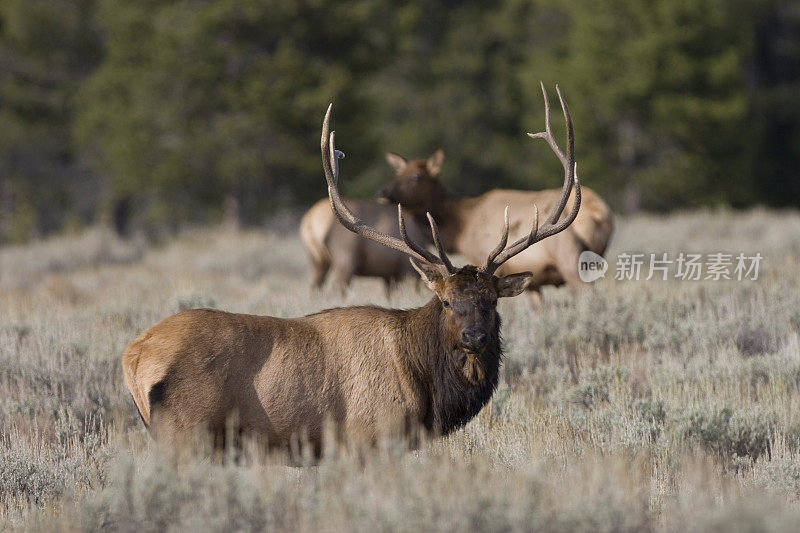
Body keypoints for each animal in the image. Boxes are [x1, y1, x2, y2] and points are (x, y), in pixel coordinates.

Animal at [120, 88, 580, 454]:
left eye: (491, 301)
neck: (426, 388)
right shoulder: (370, 435)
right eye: (447, 301)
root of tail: (133, 356)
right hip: (184, 429)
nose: (474, 337)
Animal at [378, 83, 616, 308]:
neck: (461, 227)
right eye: (397, 173)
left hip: (571, 258)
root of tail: (598, 213)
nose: (382, 192)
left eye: (416, 176)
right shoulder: (533, 280)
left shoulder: (485, 257)